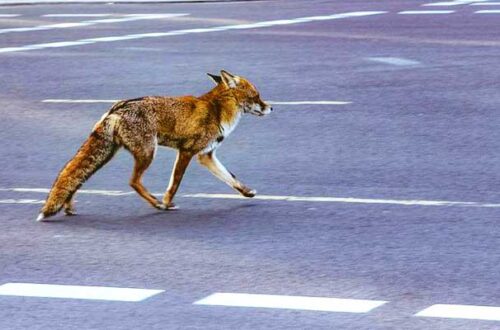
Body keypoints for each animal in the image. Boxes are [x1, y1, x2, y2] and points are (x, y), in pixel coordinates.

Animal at [36, 69, 272, 222]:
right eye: (257, 96)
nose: (271, 108)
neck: (217, 109)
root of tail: (116, 108)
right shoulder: (187, 151)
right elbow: (175, 184)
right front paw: (167, 202)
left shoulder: (206, 155)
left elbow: (232, 179)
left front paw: (247, 192)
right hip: (148, 153)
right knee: (133, 182)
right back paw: (156, 203)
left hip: (109, 154)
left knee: (76, 177)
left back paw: (68, 206)